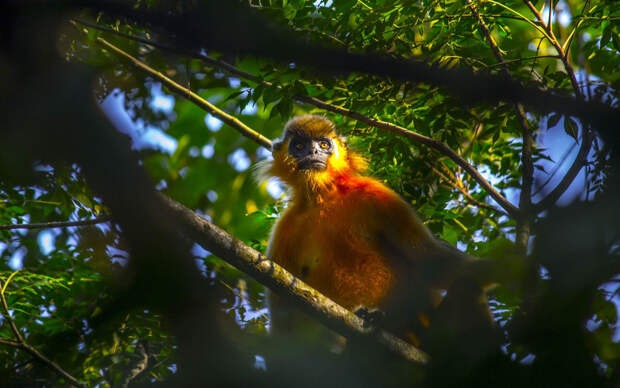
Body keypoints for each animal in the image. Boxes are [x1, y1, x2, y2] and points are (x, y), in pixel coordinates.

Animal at [258, 114, 498, 352]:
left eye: (324, 144)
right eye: (299, 146)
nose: (313, 153)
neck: (323, 198)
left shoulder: (379, 196)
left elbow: (432, 262)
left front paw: (505, 266)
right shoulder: (284, 228)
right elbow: (283, 325)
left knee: (467, 285)